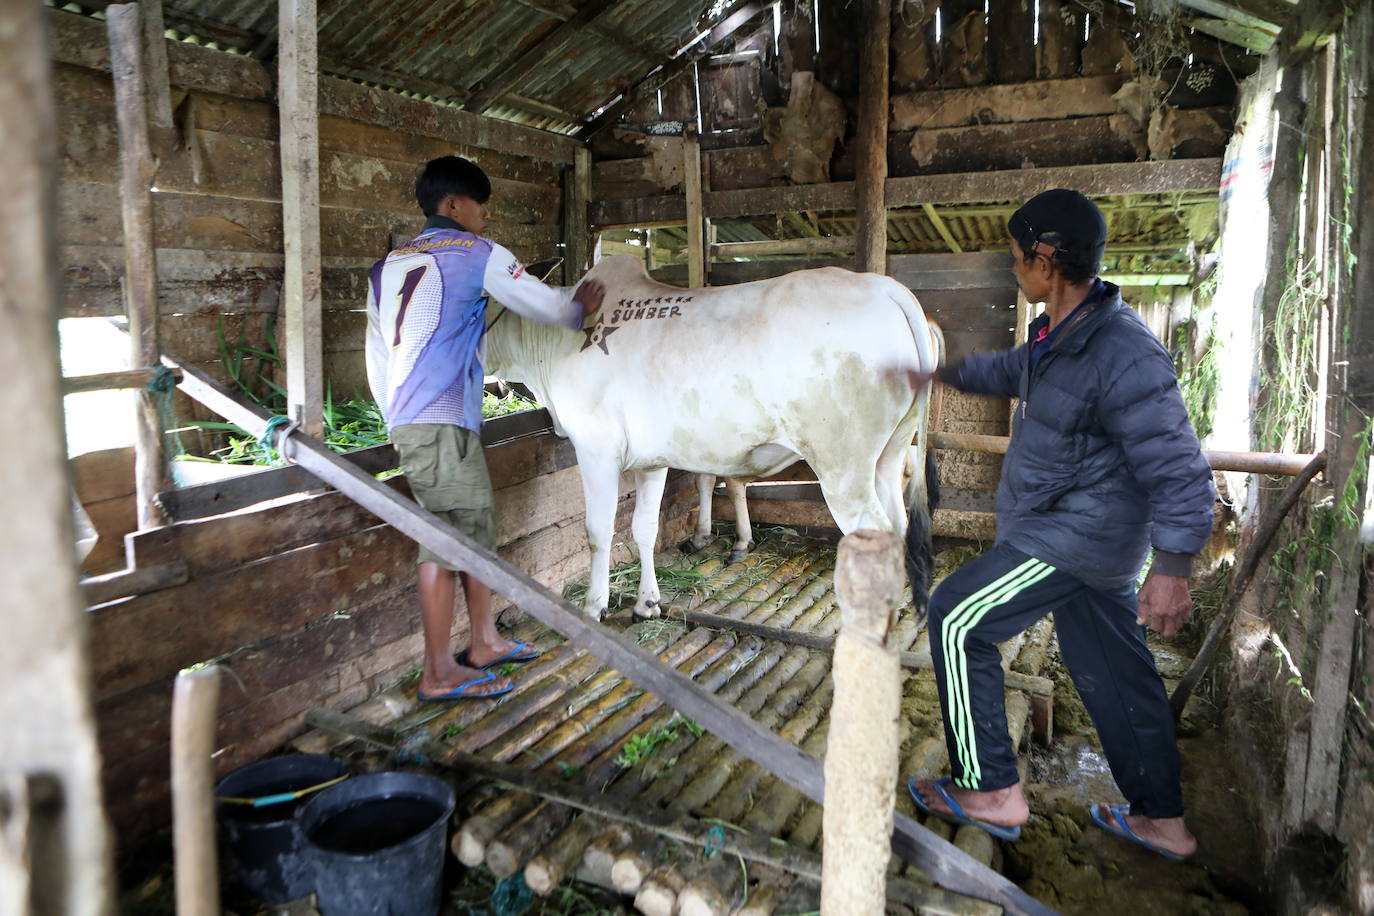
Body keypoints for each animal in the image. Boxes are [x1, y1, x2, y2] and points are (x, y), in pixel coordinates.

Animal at [486, 254, 945, 620]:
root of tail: (885, 287)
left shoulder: (595, 448)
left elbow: (599, 531)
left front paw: (594, 606)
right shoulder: (652, 461)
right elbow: (644, 527)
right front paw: (647, 603)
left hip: (842, 467)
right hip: (889, 454)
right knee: (898, 524)